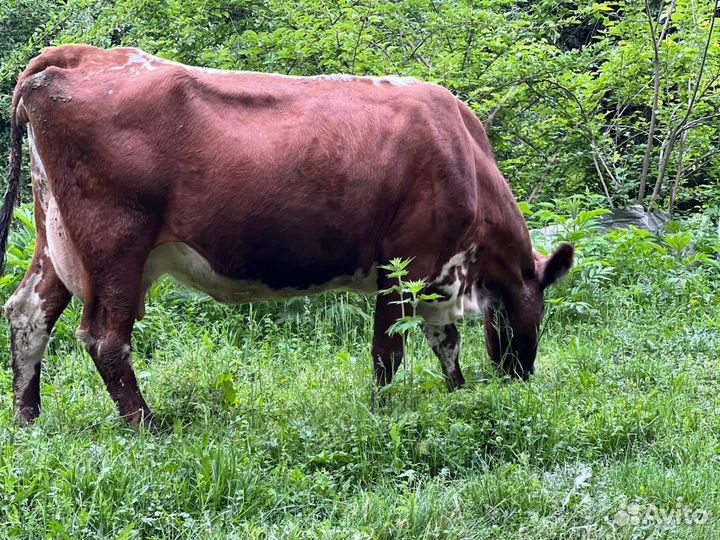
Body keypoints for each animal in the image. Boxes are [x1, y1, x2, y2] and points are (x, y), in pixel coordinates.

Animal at [1, 45, 573, 428]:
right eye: (534, 313)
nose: (521, 377)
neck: (464, 156)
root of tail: (82, 55)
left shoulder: (434, 273)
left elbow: (444, 341)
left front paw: (458, 395)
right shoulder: (405, 263)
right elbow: (389, 350)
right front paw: (381, 412)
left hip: (56, 238)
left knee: (28, 311)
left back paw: (29, 418)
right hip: (115, 243)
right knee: (106, 339)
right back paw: (146, 425)